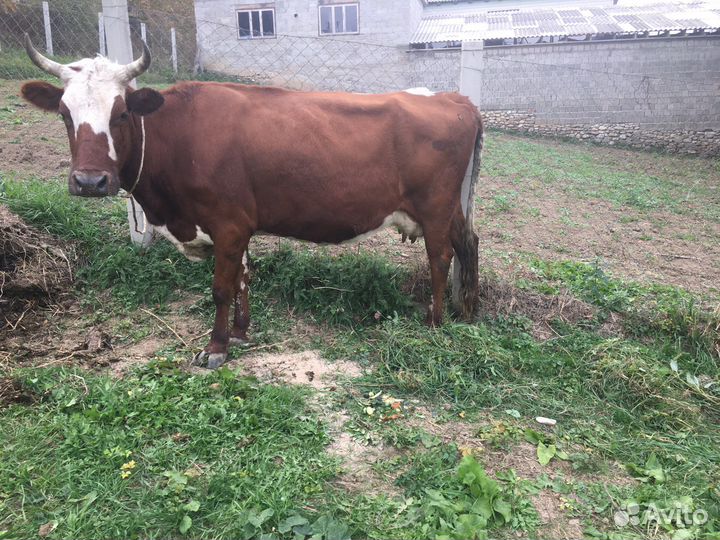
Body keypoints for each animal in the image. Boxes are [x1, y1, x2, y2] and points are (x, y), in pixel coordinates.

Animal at [20, 35, 483, 369]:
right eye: (64, 114)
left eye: (120, 114)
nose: (90, 181)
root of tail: (452, 98)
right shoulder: (237, 224)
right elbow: (243, 277)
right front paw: (241, 333)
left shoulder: (227, 223)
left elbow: (221, 288)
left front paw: (216, 347)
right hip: (452, 207)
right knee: (469, 243)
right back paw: (468, 311)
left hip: (434, 207)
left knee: (440, 257)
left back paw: (435, 321)